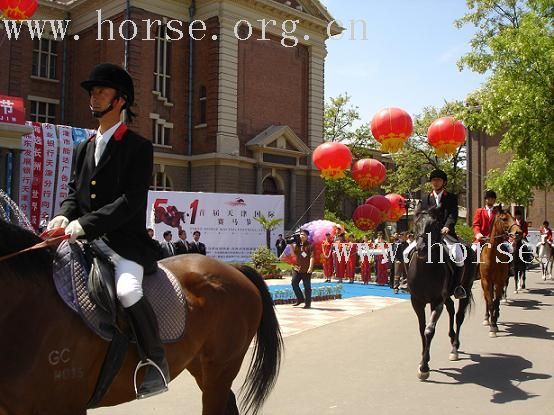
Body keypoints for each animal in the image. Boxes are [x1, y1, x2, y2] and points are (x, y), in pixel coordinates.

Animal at [406, 210, 474, 382]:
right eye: (416, 223)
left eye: (435, 225)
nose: (422, 248)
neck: (425, 269)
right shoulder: (417, 302)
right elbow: (421, 328)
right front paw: (424, 358)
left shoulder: (436, 302)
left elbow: (429, 330)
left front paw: (424, 368)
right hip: (447, 296)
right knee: (451, 309)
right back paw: (452, 338)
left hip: (466, 289)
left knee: (459, 316)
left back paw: (454, 348)